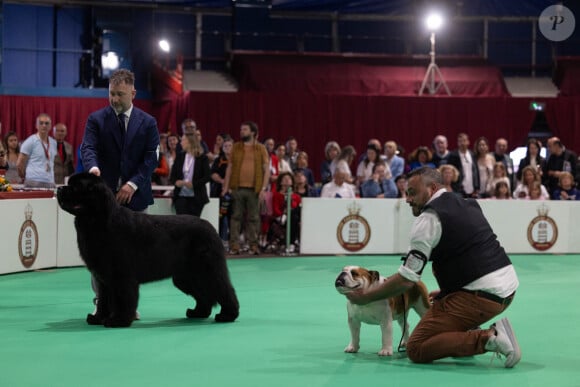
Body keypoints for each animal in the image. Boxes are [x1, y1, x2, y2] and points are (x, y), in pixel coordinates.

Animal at [57, 173, 239, 328]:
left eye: (76, 187)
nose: (59, 189)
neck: (99, 221)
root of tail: (212, 228)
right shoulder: (103, 277)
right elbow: (103, 299)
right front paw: (98, 318)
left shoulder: (121, 275)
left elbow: (122, 298)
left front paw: (118, 320)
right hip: (187, 276)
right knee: (204, 294)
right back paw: (197, 313)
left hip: (207, 269)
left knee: (223, 288)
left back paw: (227, 315)